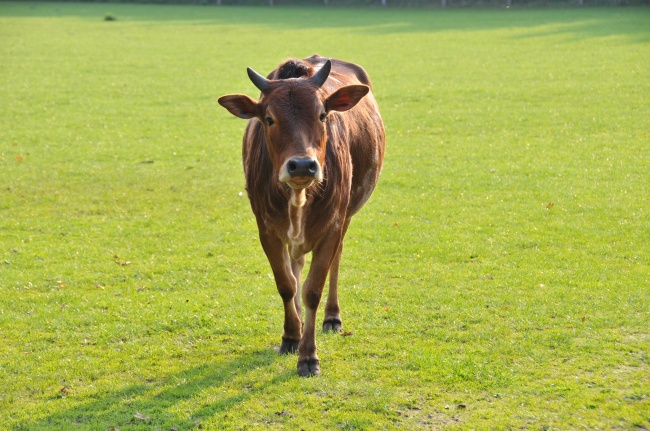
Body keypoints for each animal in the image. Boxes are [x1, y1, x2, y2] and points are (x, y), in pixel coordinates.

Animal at [218, 54, 382, 378]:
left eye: (322, 115)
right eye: (269, 118)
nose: (303, 165)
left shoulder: (332, 225)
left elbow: (312, 290)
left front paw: (308, 355)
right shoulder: (266, 229)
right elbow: (286, 284)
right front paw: (291, 336)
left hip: (346, 215)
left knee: (335, 261)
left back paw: (331, 317)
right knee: (296, 267)